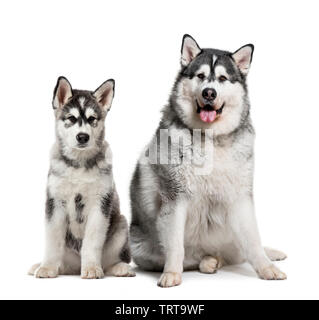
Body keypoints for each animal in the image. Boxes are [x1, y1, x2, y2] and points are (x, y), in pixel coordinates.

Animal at [29, 76, 136, 278]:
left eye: (92, 119)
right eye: (71, 118)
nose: (83, 137)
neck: (78, 164)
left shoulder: (100, 204)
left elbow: (92, 242)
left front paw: (92, 268)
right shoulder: (55, 203)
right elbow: (52, 240)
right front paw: (47, 268)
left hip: (120, 225)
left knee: (110, 260)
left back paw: (119, 268)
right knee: (64, 262)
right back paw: (47, 266)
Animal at [130, 35, 288, 288]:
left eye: (222, 78)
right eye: (201, 76)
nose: (209, 93)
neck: (211, 138)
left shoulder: (241, 198)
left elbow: (253, 240)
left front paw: (266, 268)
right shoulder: (175, 199)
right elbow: (175, 246)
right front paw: (171, 273)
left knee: (239, 250)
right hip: (140, 246)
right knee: (191, 257)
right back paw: (209, 261)